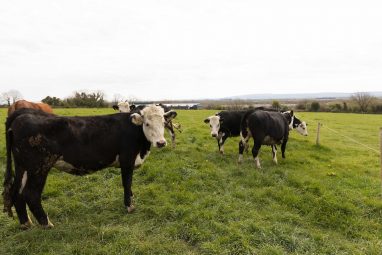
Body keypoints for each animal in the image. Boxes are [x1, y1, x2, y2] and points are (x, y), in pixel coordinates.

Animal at [2, 104, 177, 228]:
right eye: (147, 123)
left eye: (164, 122)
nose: (161, 143)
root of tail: (22, 114)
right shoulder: (127, 160)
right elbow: (127, 183)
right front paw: (129, 206)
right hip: (39, 167)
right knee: (31, 194)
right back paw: (46, 224)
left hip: (22, 166)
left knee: (17, 192)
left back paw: (26, 223)